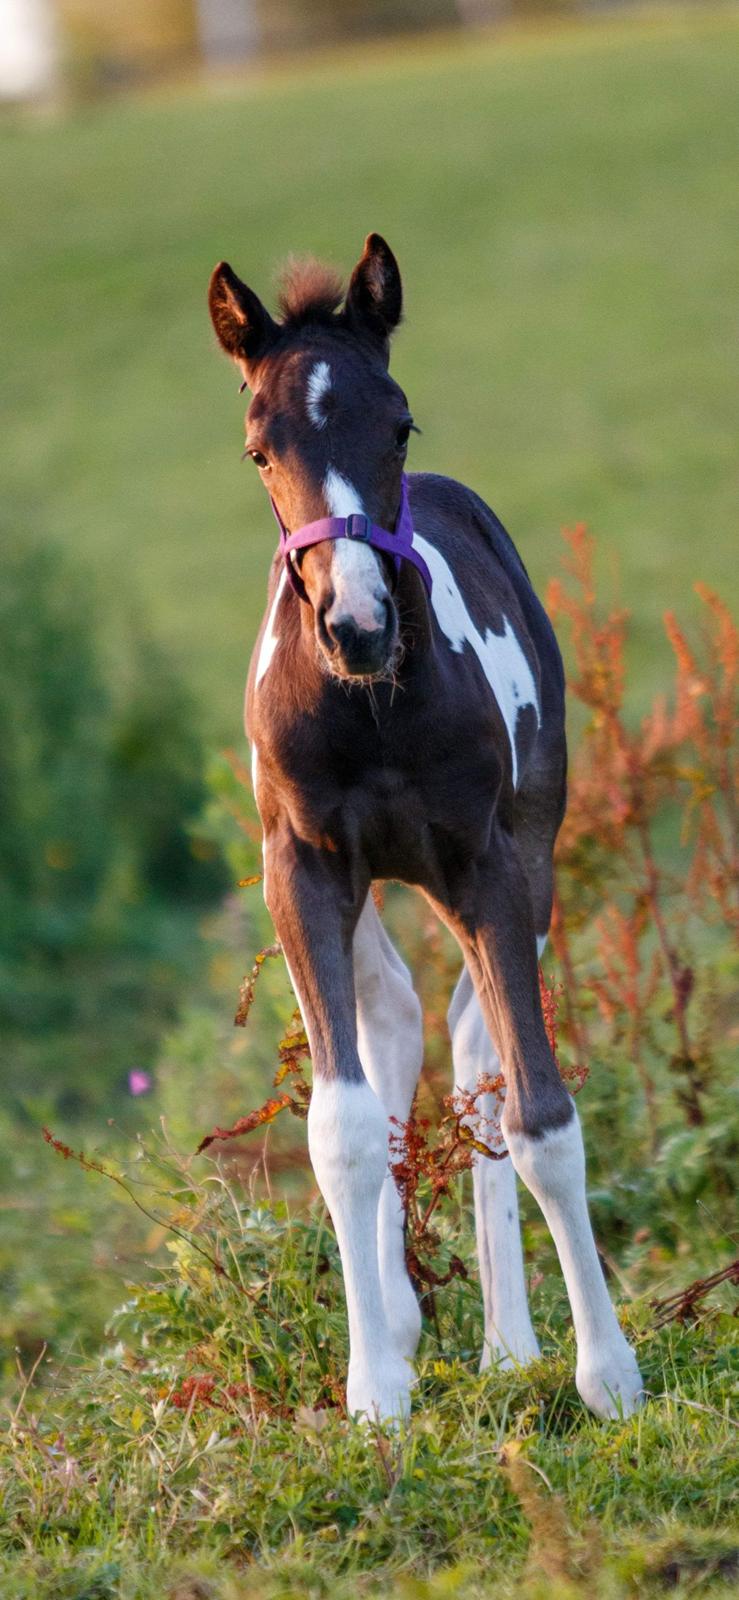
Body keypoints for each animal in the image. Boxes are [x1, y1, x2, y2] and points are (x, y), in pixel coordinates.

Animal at [206, 233, 639, 1427]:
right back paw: (402, 1327)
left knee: (476, 1047)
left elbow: (539, 1115)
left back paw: (506, 1343)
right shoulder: (301, 870)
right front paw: (374, 1390)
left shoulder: (487, 865)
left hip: (525, 860)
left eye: (397, 422)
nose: (355, 624)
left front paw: (608, 1372)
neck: (370, 707)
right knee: (396, 1019)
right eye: (258, 447)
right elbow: (338, 1124)